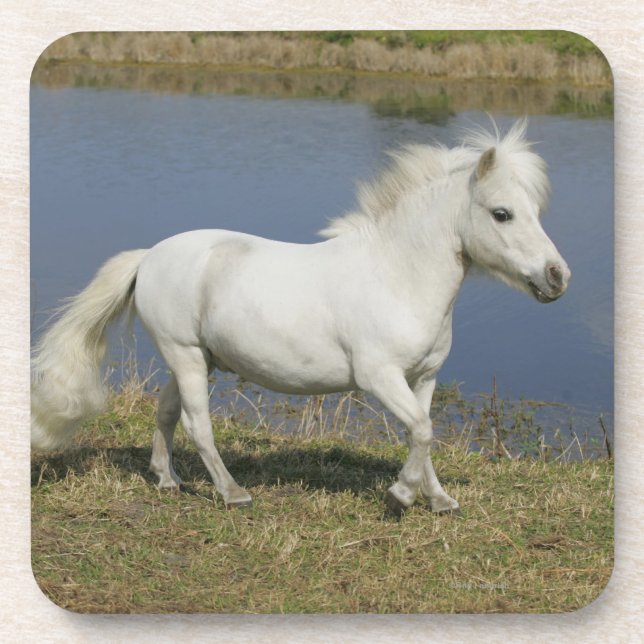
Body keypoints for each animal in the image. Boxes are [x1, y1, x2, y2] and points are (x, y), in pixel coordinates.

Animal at [31, 118, 570, 517]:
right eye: (502, 213)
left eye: (534, 210)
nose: (557, 276)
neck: (397, 274)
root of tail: (148, 258)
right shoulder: (379, 377)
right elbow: (420, 430)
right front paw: (400, 497)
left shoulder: (424, 377)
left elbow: (424, 432)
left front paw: (437, 499)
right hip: (184, 355)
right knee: (196, 424)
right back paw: (233, 493)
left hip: (195, 357)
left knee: (165, 413)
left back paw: (167, 479)